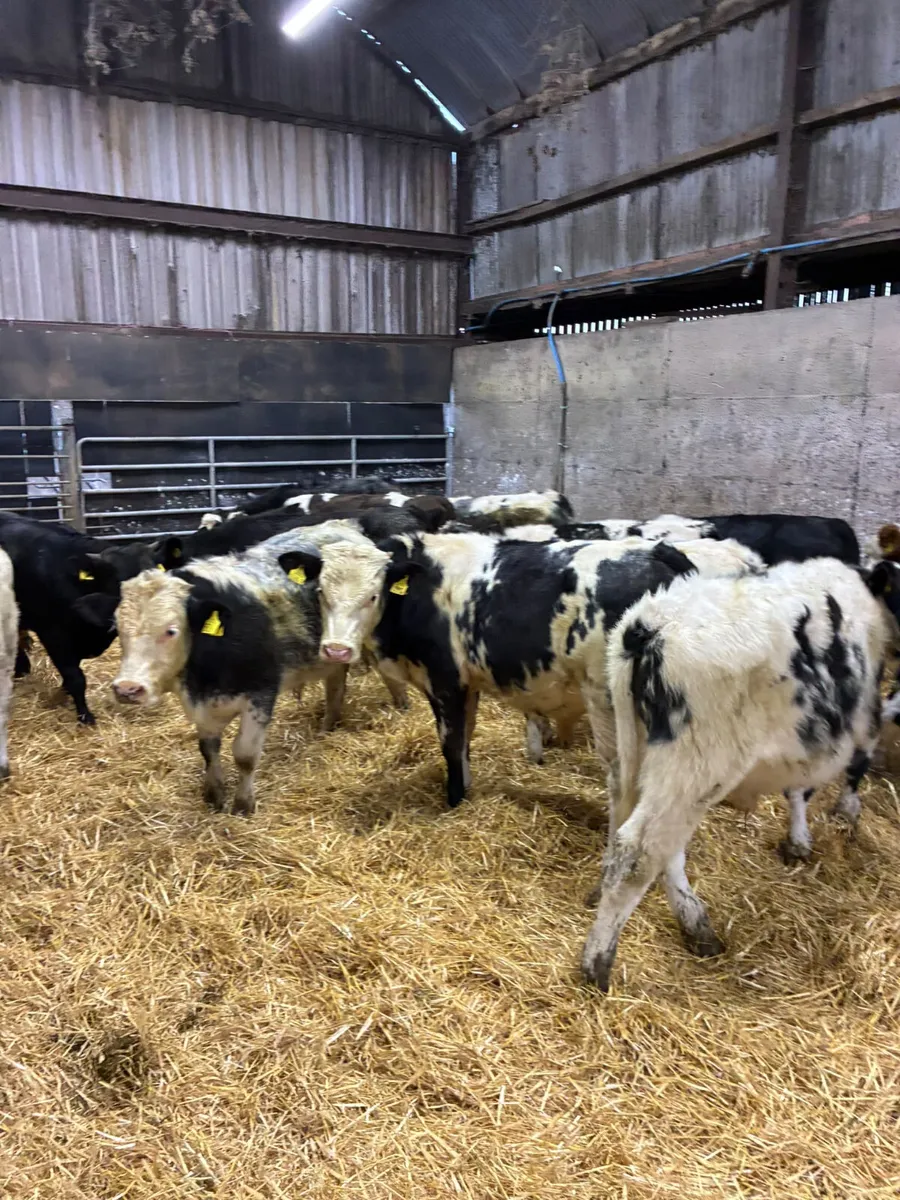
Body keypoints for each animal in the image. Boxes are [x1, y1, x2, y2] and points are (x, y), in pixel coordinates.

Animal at [111, 534, 345, 816]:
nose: (127, 688)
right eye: (117, 627)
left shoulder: (261, 696)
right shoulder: (205, 708)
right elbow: (208, 750)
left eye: (170, 631)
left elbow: (245, 755)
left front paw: (243, 804)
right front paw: (214, 794)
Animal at [580, 556, 892, 992]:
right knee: (640, 850)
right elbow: (836, 779)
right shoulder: (859, 722)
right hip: (697, 763)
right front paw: (830, 822)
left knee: (644, 832)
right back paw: (598, 962)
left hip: (637, 753)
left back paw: (695, 925)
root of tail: (650, 626)